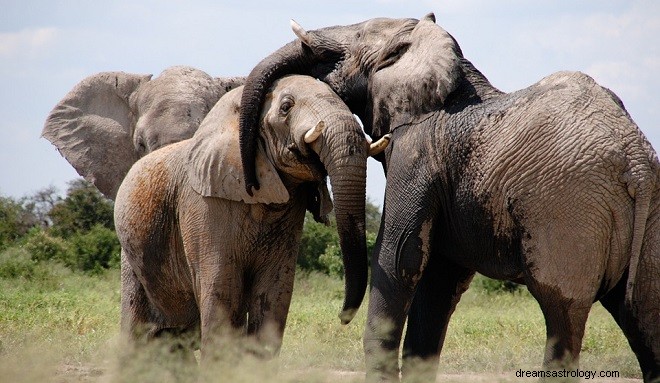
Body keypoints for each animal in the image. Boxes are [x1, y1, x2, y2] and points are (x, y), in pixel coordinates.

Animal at [114, 75, 390, 364]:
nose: (342, 318)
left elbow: (275, 292)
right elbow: (221, 288)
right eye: (286, 107)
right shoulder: (203, 205)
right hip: (131, 256)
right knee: (137, 330)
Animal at [235, 13, 656, 382]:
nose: (252, 184)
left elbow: (399, 256)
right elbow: (438, 279)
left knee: (561, 316)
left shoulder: (417, 151)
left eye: (353, 41)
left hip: (568, 210)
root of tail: (635, 161)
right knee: (645, 319)